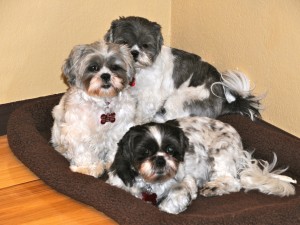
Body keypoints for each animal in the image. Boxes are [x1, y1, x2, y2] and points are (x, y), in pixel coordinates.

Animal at [51, 40, 136, 178]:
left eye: (114, 67)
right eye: (93, 68)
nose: (106, 75)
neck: (103, 103)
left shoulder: (121, 129)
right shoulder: (78, 131)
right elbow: (83, 151)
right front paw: (88, 167)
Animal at [104, 16, 262, 124]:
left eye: (145, 45)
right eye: (124, 43)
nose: (134, 53)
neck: (139, 72)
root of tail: (223, 101)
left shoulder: (150, 98)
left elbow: (141, 114)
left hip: (179, 100)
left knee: (173, 118)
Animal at [106, 117, 296, 214]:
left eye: (171, 150)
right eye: (145, 152)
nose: (160, 159)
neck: (153, 184)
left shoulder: (186, 180)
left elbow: (175, 197)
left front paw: (168, 206)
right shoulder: (117, 182)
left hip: (220, 152)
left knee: (233, 181)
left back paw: (214, 187)